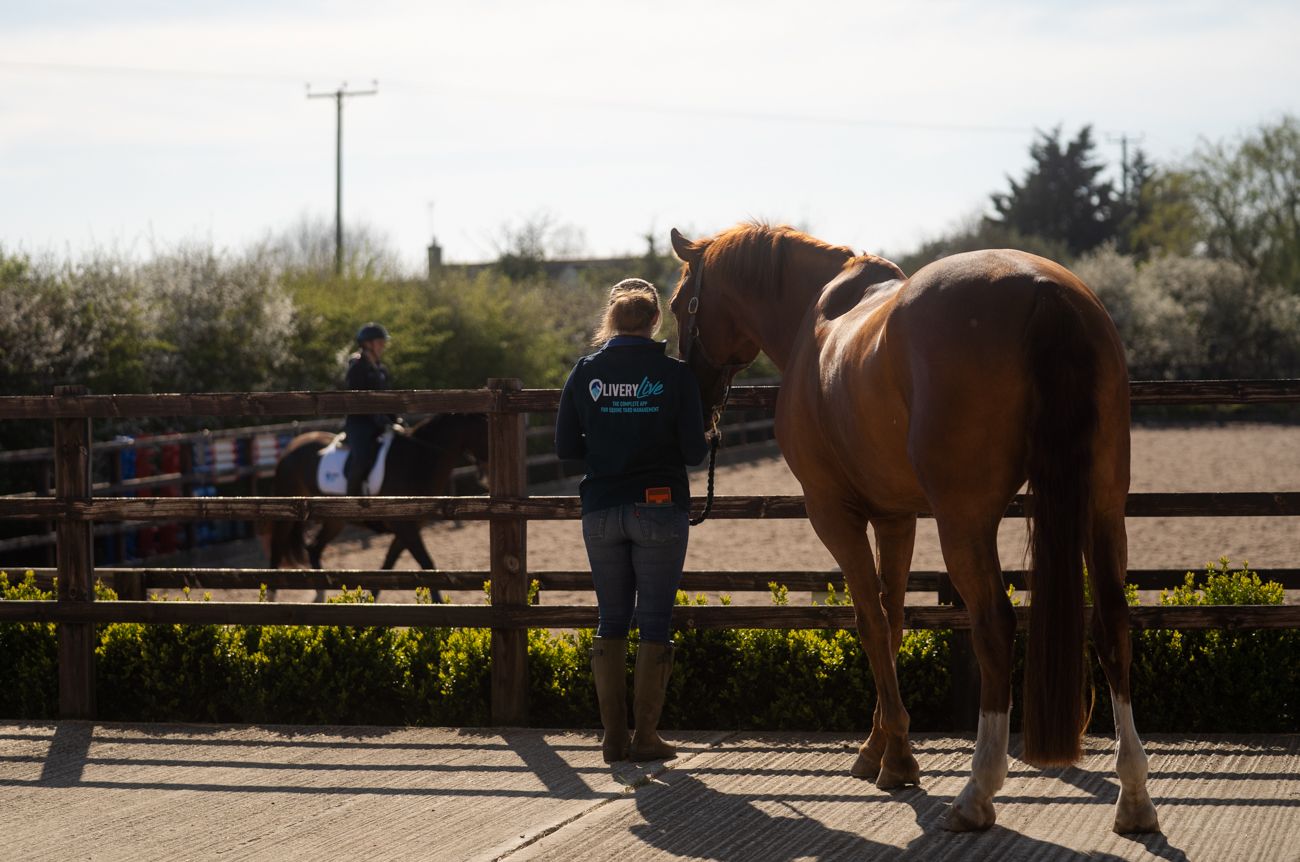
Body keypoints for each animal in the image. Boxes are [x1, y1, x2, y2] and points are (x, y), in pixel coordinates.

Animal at [267, 413, 489, 602]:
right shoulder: (404, 528)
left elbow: (387, 566)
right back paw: (269, 597)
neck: (416, 461)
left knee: (313, 549)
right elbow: (426, 564)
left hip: (335, 521)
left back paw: (319, 595)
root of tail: (292, 447)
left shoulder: (408, 529)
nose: (485, 478)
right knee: (277, 548)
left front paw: (370, 602)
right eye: (485, 427)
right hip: (287, 512)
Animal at [669, 223, 1158, 835]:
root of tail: (1044, 290)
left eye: (678, 304)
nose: (694, 399)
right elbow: (895, 620)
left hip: (965, 520)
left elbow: (870, 623)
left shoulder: (834, 514)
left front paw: (898, 759)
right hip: (1102, 507)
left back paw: (976, 793)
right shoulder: (895, 517)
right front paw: (879, 747)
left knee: (995, 626)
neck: (816, 316)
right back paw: (1134, 798)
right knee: (1113, 622)